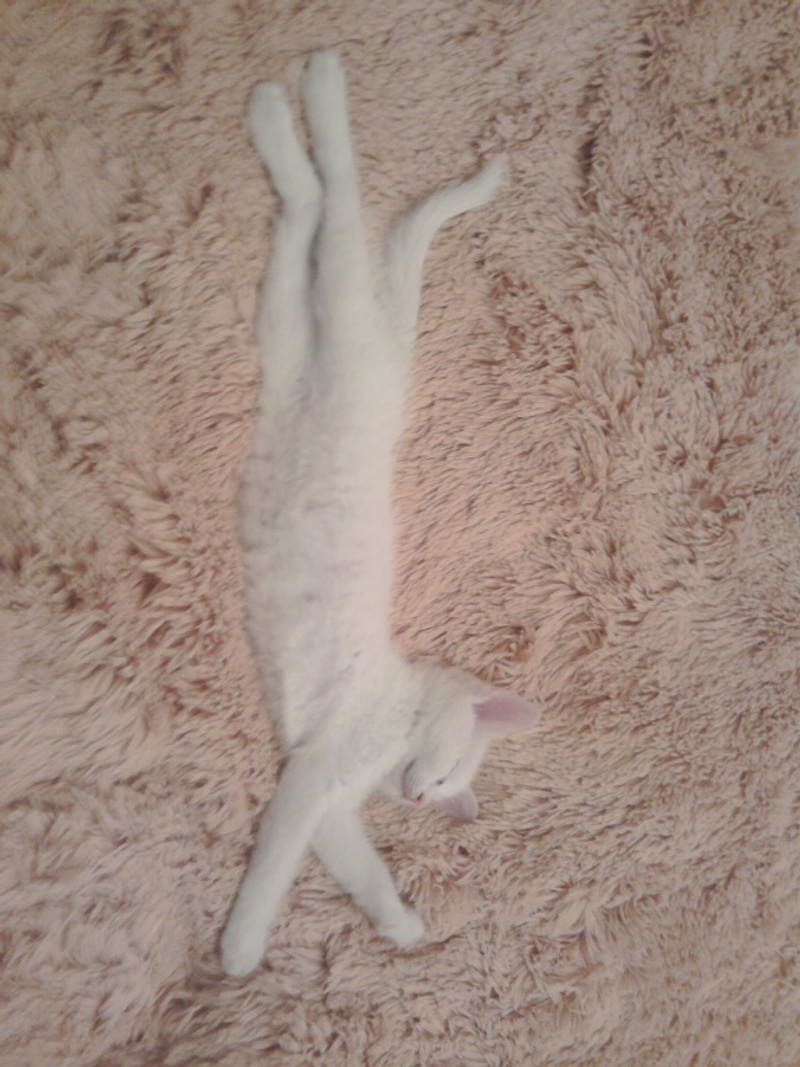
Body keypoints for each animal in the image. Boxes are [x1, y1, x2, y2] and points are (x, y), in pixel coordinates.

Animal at [220, 50, 540, 978]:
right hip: (343, 313)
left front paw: (397, 922)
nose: (422, 795)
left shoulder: (322, 796)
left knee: (305, 219)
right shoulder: (315, 768)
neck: (401, 711)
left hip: (288, 329)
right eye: (446, 771)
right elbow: (270, 870)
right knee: (338, 205)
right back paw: (312, 96)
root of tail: (386, 371)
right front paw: (239, 950)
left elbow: (349, 863)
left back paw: (278, 114)